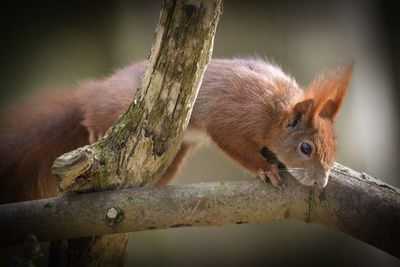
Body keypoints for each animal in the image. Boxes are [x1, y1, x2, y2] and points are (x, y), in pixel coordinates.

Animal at [0, 59, 354, 205]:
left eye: (336, 145)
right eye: (306, 148)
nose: (321, 183)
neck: (276, 110)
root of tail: (93, 91)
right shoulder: (232, 117)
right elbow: (233, 143)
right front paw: (265, 168)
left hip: (172, 156)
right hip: (114, 108)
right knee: (92, 115)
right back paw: (93, 130)